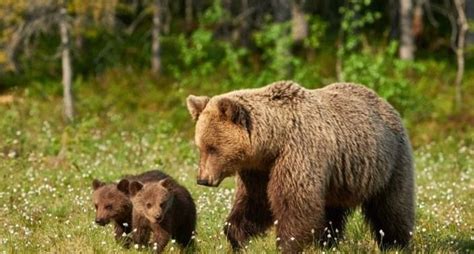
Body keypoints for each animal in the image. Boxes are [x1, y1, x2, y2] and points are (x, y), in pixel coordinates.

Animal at [185, 81, 414, 252]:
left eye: (213, 148)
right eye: (200, 146)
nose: (202, 179)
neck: (274, 141)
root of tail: (384, 102)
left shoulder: (299, 152)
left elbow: (295, 202)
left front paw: (287, 244)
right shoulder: (259, 169)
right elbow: (255, 202)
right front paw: (236, 236)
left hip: (389, 162)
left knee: (392, 207)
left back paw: (396, 244)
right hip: (338, 179)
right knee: (332, 212)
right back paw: (328, 243)